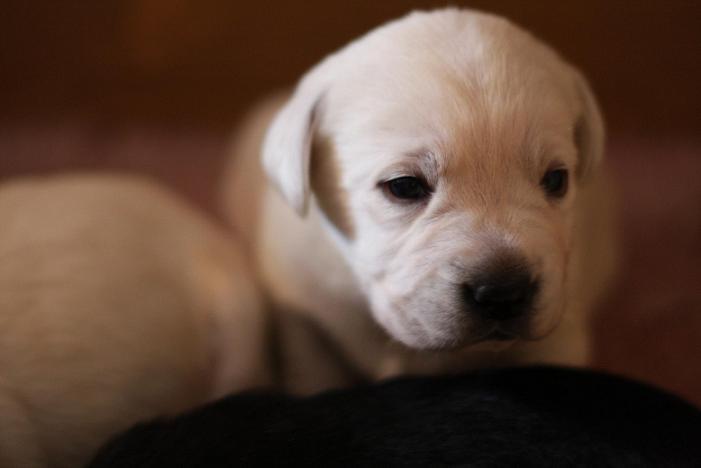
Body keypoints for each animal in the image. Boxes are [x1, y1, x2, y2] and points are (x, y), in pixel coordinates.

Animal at [223, 8, 612, 394]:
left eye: (556, 180)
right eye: (404, 186)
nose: (504, 292)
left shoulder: (561, 329)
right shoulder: (304, 318)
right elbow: (313, 369)